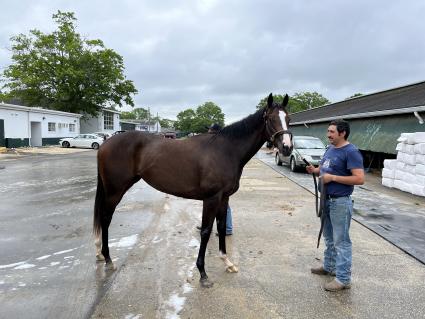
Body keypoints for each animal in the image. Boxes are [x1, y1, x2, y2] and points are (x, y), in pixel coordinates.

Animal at [93, 92, 292, 288]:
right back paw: (108, 259)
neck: (226, 150)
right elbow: (205, 231)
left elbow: (220, 227)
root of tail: (105, 144)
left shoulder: (224, 198)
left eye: (288, 118)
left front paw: (227, 262)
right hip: (115, 191)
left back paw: (101, 254)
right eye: (271, 118)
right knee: (105, 218)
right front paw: (203, 274)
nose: (287, 148)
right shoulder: (211, 199)